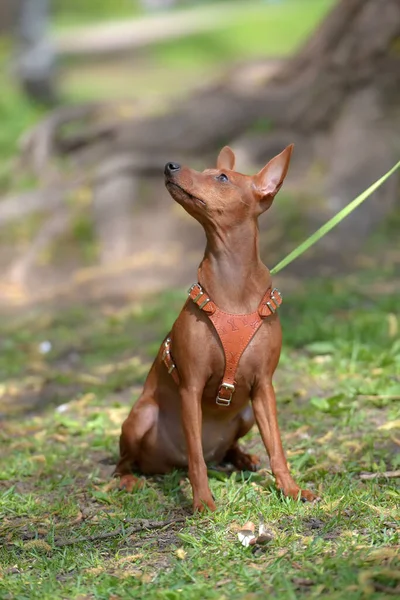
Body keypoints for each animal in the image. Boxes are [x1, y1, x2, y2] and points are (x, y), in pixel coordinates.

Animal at [115, 145, 318, 510]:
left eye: (222, 177)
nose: (169, 165)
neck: (233, 283)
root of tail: (167, 465)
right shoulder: (191, 387)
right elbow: (195, 458)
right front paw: (202, 502)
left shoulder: (264, 388)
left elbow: (277, 448)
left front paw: (291, 489)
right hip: (141, 417)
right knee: (128, 461)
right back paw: (128, 479)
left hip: (247, 413)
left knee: (227, 448)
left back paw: (242, 458)